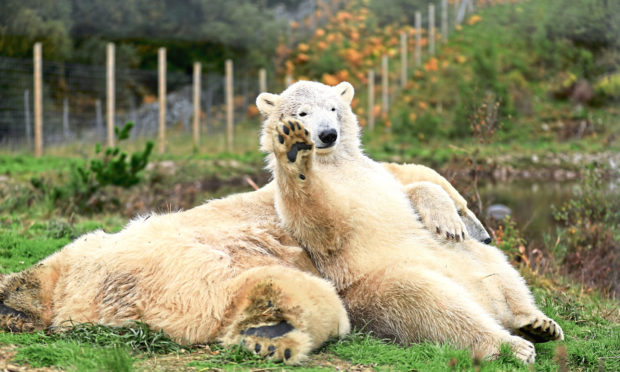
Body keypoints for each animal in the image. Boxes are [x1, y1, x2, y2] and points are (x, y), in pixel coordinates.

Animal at [260, 80, 564, 364]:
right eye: (303, 112)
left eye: (334, 108)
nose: (328, 134)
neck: (333, 162)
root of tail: (486, 304)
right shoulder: (320, 214)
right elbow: (321, 223)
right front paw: (294, 150)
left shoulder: (376, 173)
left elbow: (410, 191)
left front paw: (448, 222)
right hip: (376, 290)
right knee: (433, 304)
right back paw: (512, 346)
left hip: (469, 259)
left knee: (498, 267)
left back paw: (537, 323)